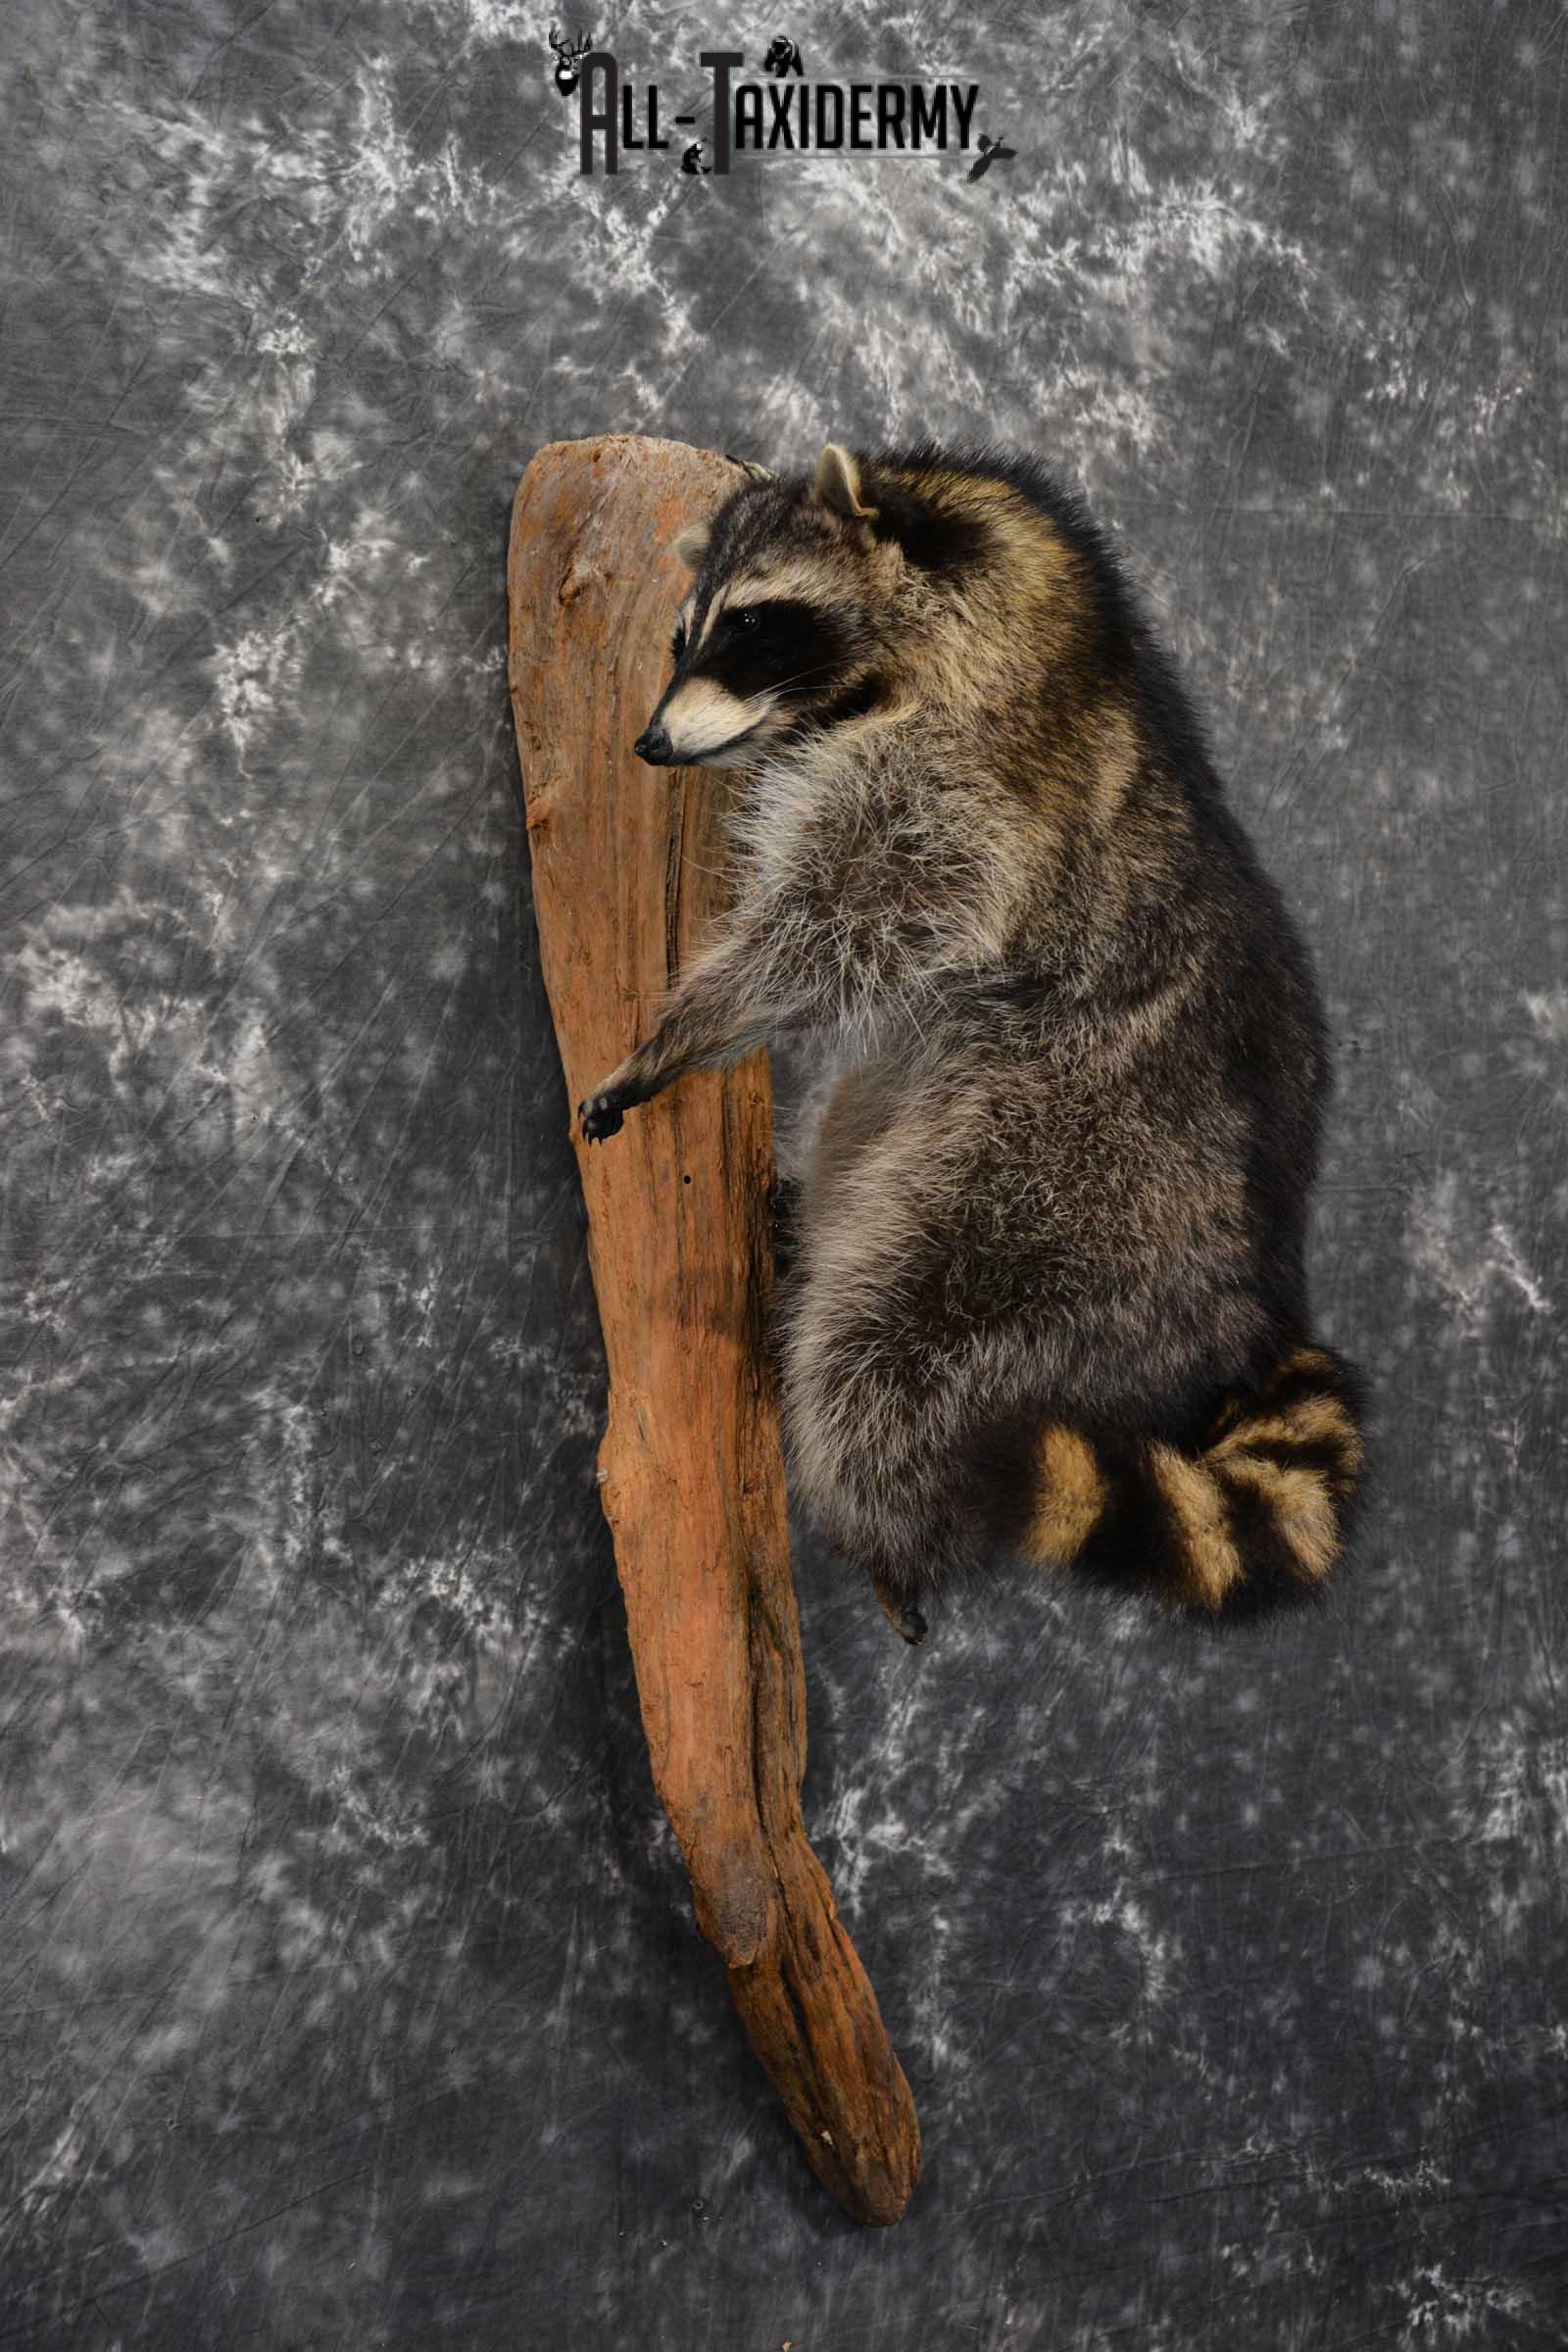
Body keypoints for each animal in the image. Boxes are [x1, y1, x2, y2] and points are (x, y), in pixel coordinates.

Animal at [578, 440, 1366, 1645]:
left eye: (755, 623)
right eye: (682, 634)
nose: (652, 743)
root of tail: (1261, 1297)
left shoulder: (969, 784)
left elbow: (833, 929)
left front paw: (684, 1029)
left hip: (1063, 1182)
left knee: (884, 1353)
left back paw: (886, 1524)